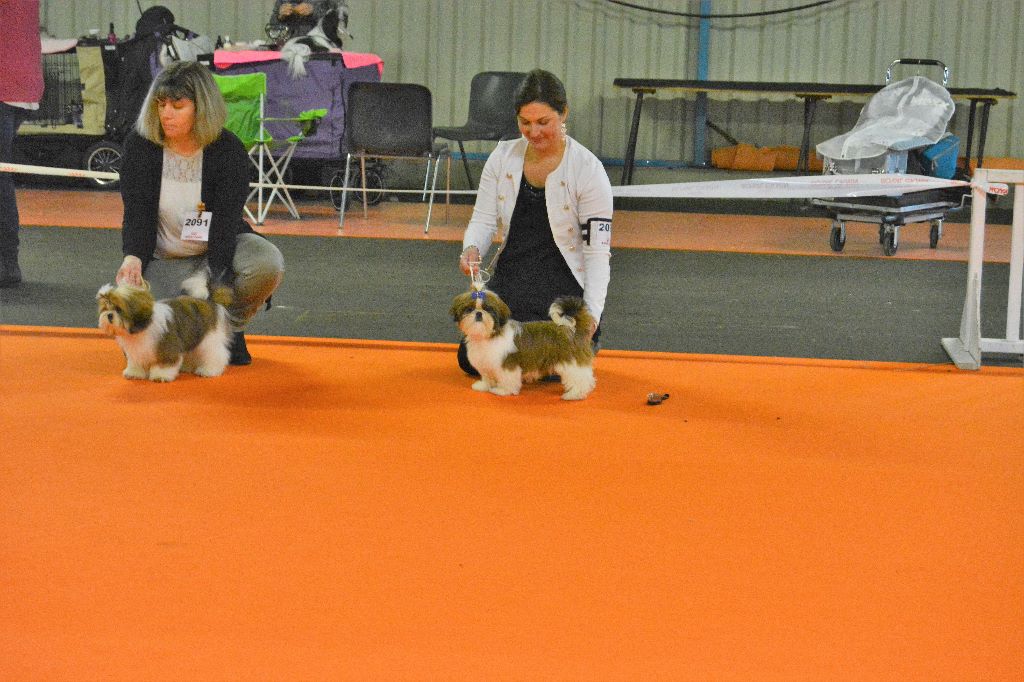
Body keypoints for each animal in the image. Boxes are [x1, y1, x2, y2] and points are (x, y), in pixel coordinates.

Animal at [95, 278, 232, 378]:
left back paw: (209, 370)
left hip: (209, 338)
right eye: (106, 308)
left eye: (119, 309)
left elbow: (165, 362)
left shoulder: (166, 345)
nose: (109, 315)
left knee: (216, 354)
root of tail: (209, 302)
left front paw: (161, 375)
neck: (143, 327)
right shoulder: (138, 350)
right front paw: (134, 372)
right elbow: (136, 360)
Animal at [450, 288, 598, 399]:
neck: (488, 335)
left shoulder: (507, 363)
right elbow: (487, 376)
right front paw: (484, 386)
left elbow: (507, 378)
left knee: (581, 377)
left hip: (571, 361)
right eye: (469, 309)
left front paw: (503, 390)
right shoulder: (486, 362)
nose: (479, 313)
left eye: (488, 309)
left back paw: (575, 394)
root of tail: (573, 330)